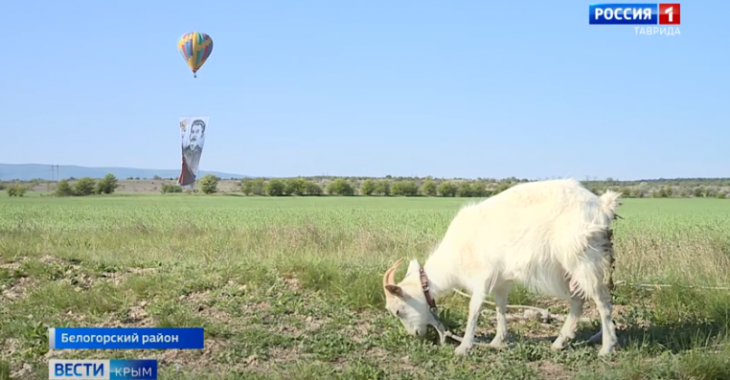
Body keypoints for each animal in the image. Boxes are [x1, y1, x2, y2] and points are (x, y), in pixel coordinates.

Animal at [384, 178, 616, 356]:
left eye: (398, 311)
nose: (415, 335)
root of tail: (602, 205)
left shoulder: (482, 275)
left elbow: (474, 308)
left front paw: (464, 347)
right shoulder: (501, 279)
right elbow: (500, 306)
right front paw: (497, 340)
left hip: (582, 258)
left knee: (602, 300)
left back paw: (606, 347)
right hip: (565, 268)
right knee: (578, 299)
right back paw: (560, 342)